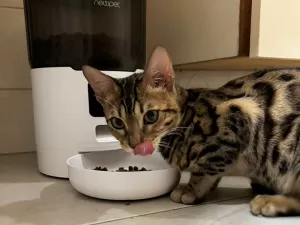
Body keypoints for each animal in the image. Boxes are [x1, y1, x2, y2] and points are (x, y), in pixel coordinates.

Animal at [82, 46, 300, 218]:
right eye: (117, 122)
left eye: (151, 116)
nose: (135, 145)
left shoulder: (238, 115)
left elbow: (205, 169)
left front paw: (191, 189)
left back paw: (270, 201)